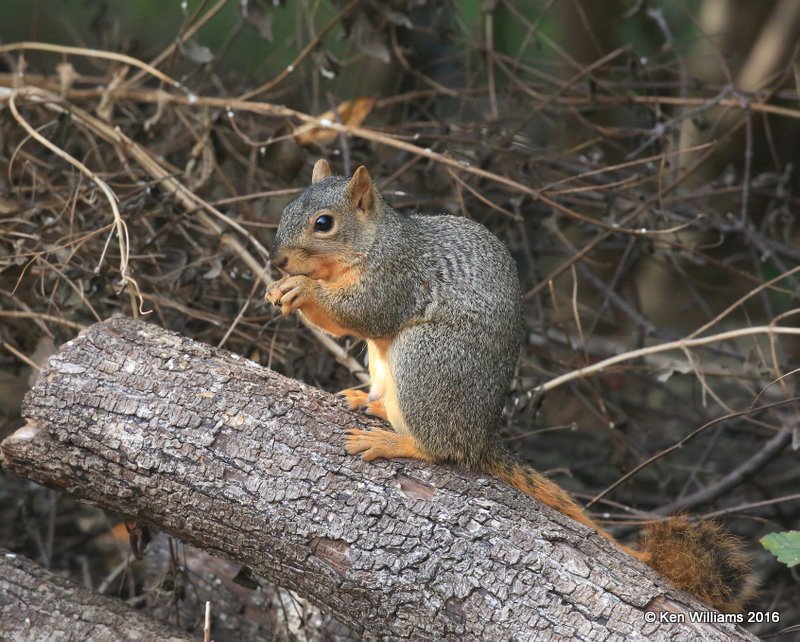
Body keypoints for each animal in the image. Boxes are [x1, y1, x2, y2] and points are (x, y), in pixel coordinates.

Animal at [266, 159, 752, 608]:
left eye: (324, 223)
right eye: (287, 207)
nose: (277, 262)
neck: (372, 242)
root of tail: (481, 437)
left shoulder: (396, 278)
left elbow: (364, 312)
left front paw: (301, 289)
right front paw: (279, 289)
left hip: (427, 359)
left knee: (442, 449)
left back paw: (395, 442)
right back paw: (371, 403)